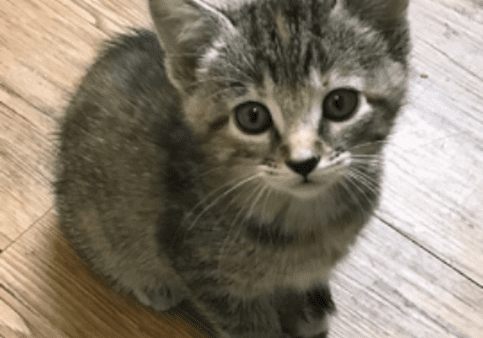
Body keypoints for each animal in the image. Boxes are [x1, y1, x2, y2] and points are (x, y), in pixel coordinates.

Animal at [55, 0, 412, 336]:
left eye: (340, 103)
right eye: (252, 116)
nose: (303, 161)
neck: (306, 221)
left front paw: (304, 310)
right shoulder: (205, 275)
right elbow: (252, 327)